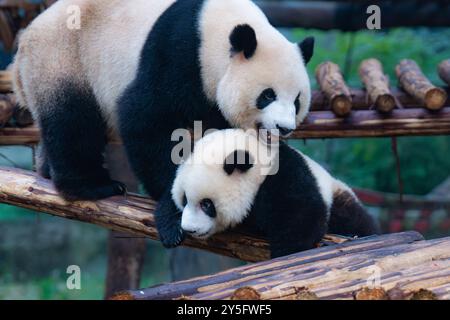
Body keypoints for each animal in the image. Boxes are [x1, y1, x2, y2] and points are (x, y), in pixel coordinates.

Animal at [12, 0, 314, 205]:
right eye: (267, 95)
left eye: (297, 101)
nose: (284, 128)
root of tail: (23, 42)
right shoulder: (178, 53)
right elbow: (145, 117)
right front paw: (175, 191)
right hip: (62, 57)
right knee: (72, 120)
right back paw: (91, 185)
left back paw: (48, 170)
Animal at [168, 129, 380, 256]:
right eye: (184, 200)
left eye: (206, 204)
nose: (189, 229)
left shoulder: (286, 176)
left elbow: (302, 218)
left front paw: (285, 252)